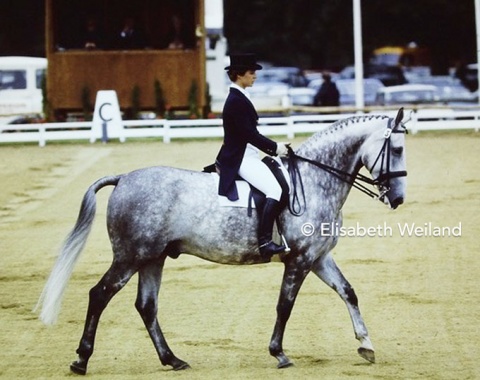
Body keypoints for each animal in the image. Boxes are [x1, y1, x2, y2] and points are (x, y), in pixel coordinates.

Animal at [35, 109, 406, 374]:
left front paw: (366, 345)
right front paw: (279, 353)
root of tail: (123, 178)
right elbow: (284, 306)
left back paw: (172, 360)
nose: (398, 198)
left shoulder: (317, 257)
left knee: (146, 306)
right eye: (398, 149)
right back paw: (81, 360)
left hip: (152, 258)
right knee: (100, 295)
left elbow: (348, 292)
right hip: (129, 257)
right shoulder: (299, 260)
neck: (315, 179)